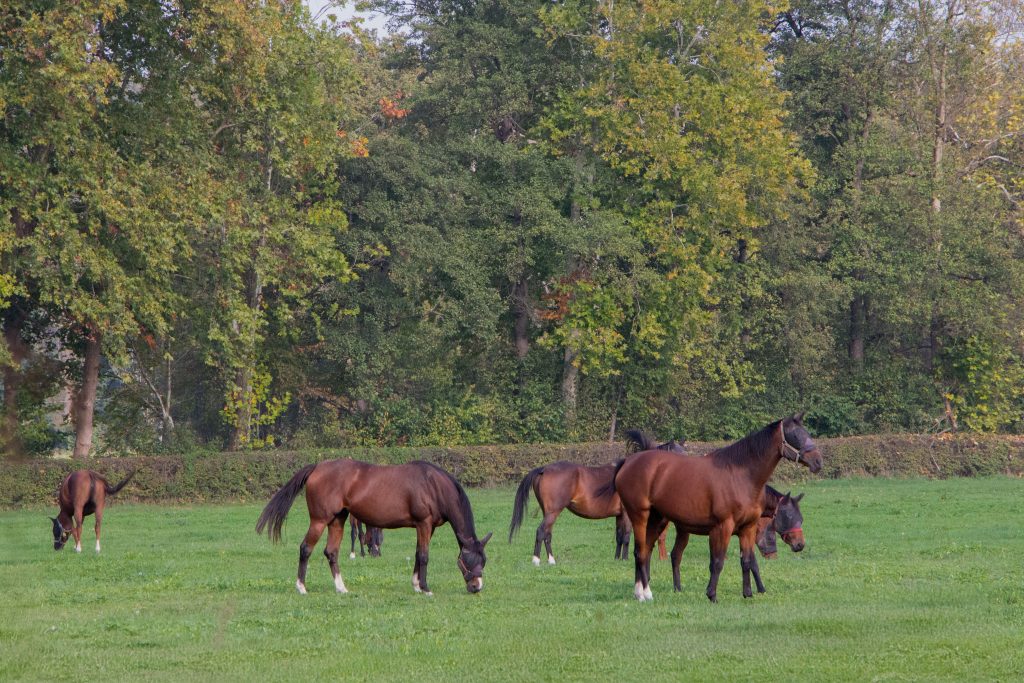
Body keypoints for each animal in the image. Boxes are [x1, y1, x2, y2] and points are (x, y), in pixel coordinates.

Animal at [256, 459, 492, 595]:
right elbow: (424, 556)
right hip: (319, 520)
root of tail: (317, 467)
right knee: (305, 548)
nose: (476, 587)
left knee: (331, 552)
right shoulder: (424, 524)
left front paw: (416, 585)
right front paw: (425, 588)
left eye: (484, 560)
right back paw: (301, 587)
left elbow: (418, 554)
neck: (433, 485)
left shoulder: (426, 527)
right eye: (470, 560)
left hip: (338, 520)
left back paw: (341, 588)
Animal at [669, 485, 806, 591]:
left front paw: (760, 589)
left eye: (801, 518)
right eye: (789, 516)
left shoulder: (744, 536)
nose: (800, 544)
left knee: (675, 555)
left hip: (683, 531)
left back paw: (678, 589)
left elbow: (751, 563)